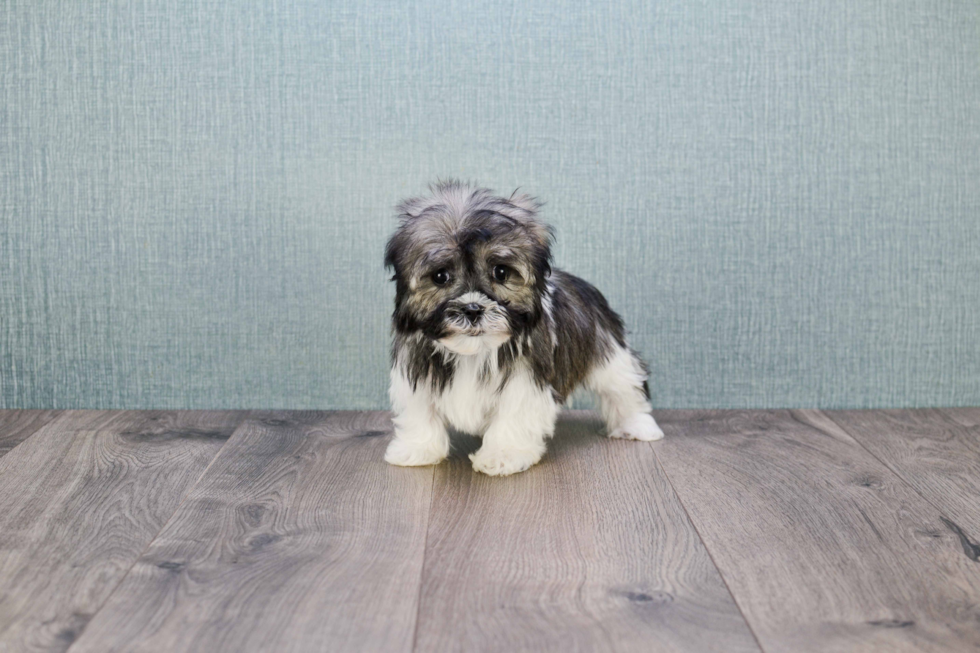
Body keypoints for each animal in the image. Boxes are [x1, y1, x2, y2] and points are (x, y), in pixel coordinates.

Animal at [378, 181, 664, 476]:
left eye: (501, 272)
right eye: (440, 276)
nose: (472, 309)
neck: (473, 352)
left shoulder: (524, 379)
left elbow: (512, 416)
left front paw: (503, 455)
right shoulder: (416, 372)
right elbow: (421, 412)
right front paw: (417, 448)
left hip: (609, 355)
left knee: (624, 387)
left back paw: (636, 425)